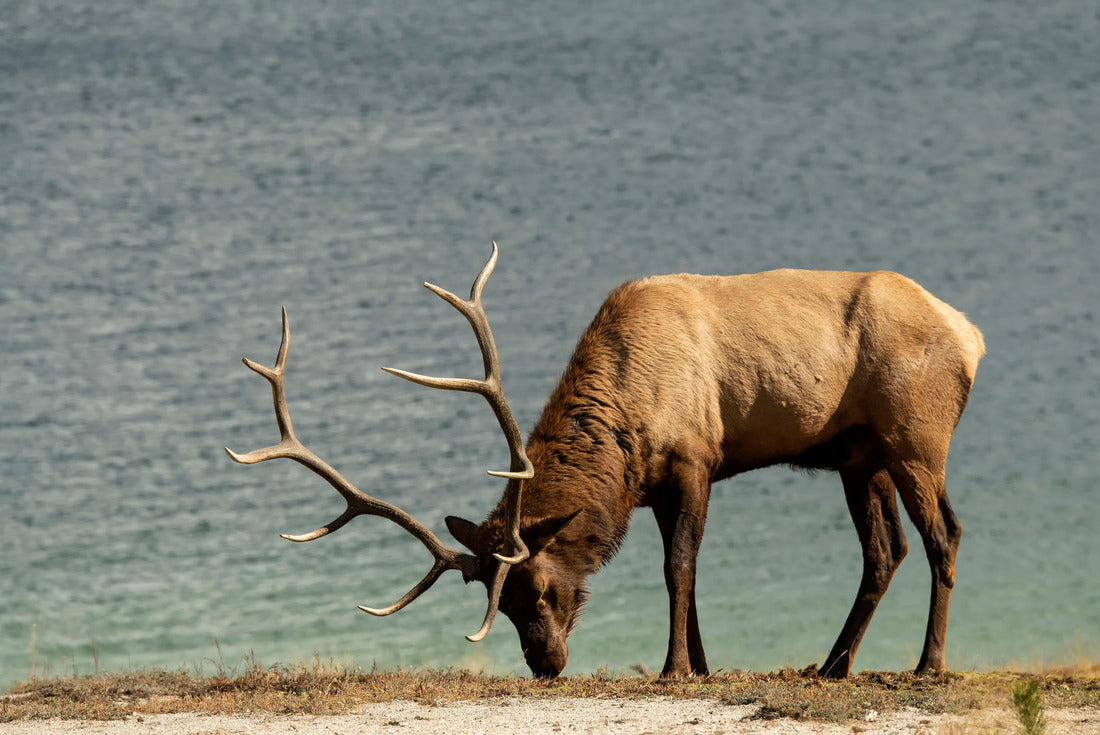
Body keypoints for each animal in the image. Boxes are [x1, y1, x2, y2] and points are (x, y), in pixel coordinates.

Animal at [227, 242, 984, 679]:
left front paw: (674, 669)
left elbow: (678, 569)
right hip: (861, 456)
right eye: (498, 605)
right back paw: (830, 667)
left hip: (917, 438)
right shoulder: (653, 487)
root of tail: (971, 335)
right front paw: (702, 666)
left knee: (943, 534)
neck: (626, 429)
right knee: (885, 551)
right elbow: (690, 577)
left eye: (536, 587)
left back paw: (928, 665)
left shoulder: (695, 458)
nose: (545, 665)